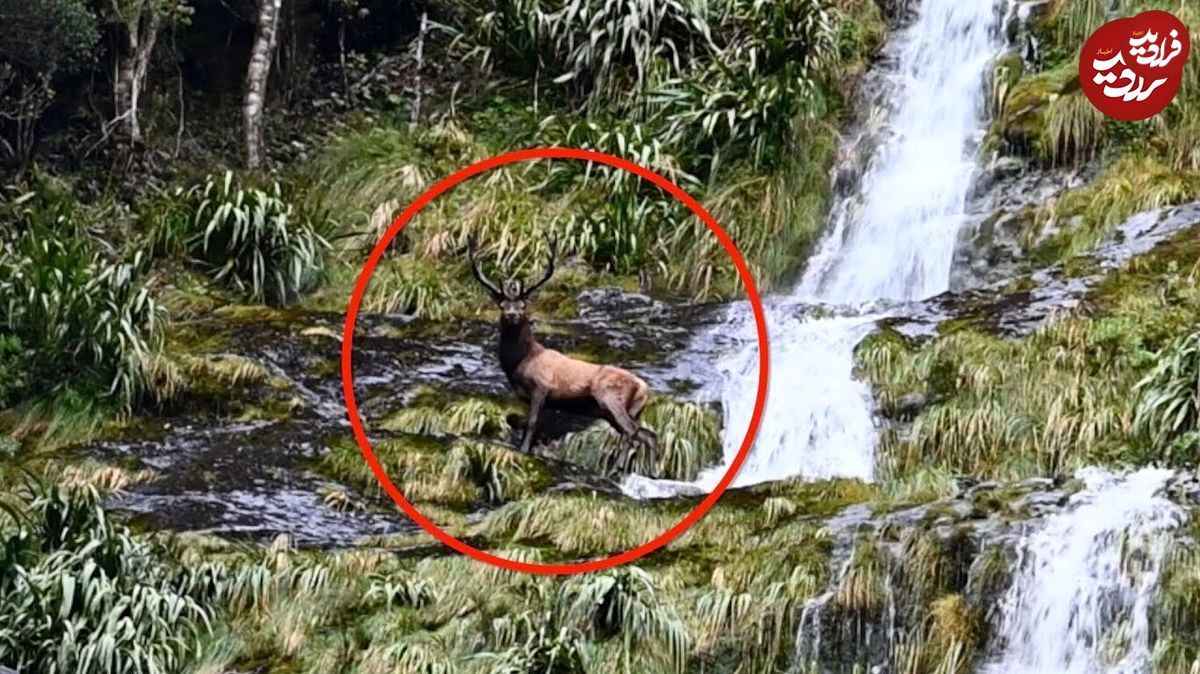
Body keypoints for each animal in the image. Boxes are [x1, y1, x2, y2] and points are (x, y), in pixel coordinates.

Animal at [465, 233, 657, 474]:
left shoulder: (542, 387)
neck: (520, 363)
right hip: (631, 410)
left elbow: (531, 424)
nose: (512, 315)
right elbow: (528, 424)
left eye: (523, 305)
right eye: (502, 305)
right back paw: (652, 471)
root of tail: (644, 388)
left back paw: (615, 468)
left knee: (632, 432)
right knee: (648, 435)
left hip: (611, 398)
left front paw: (524, 450)